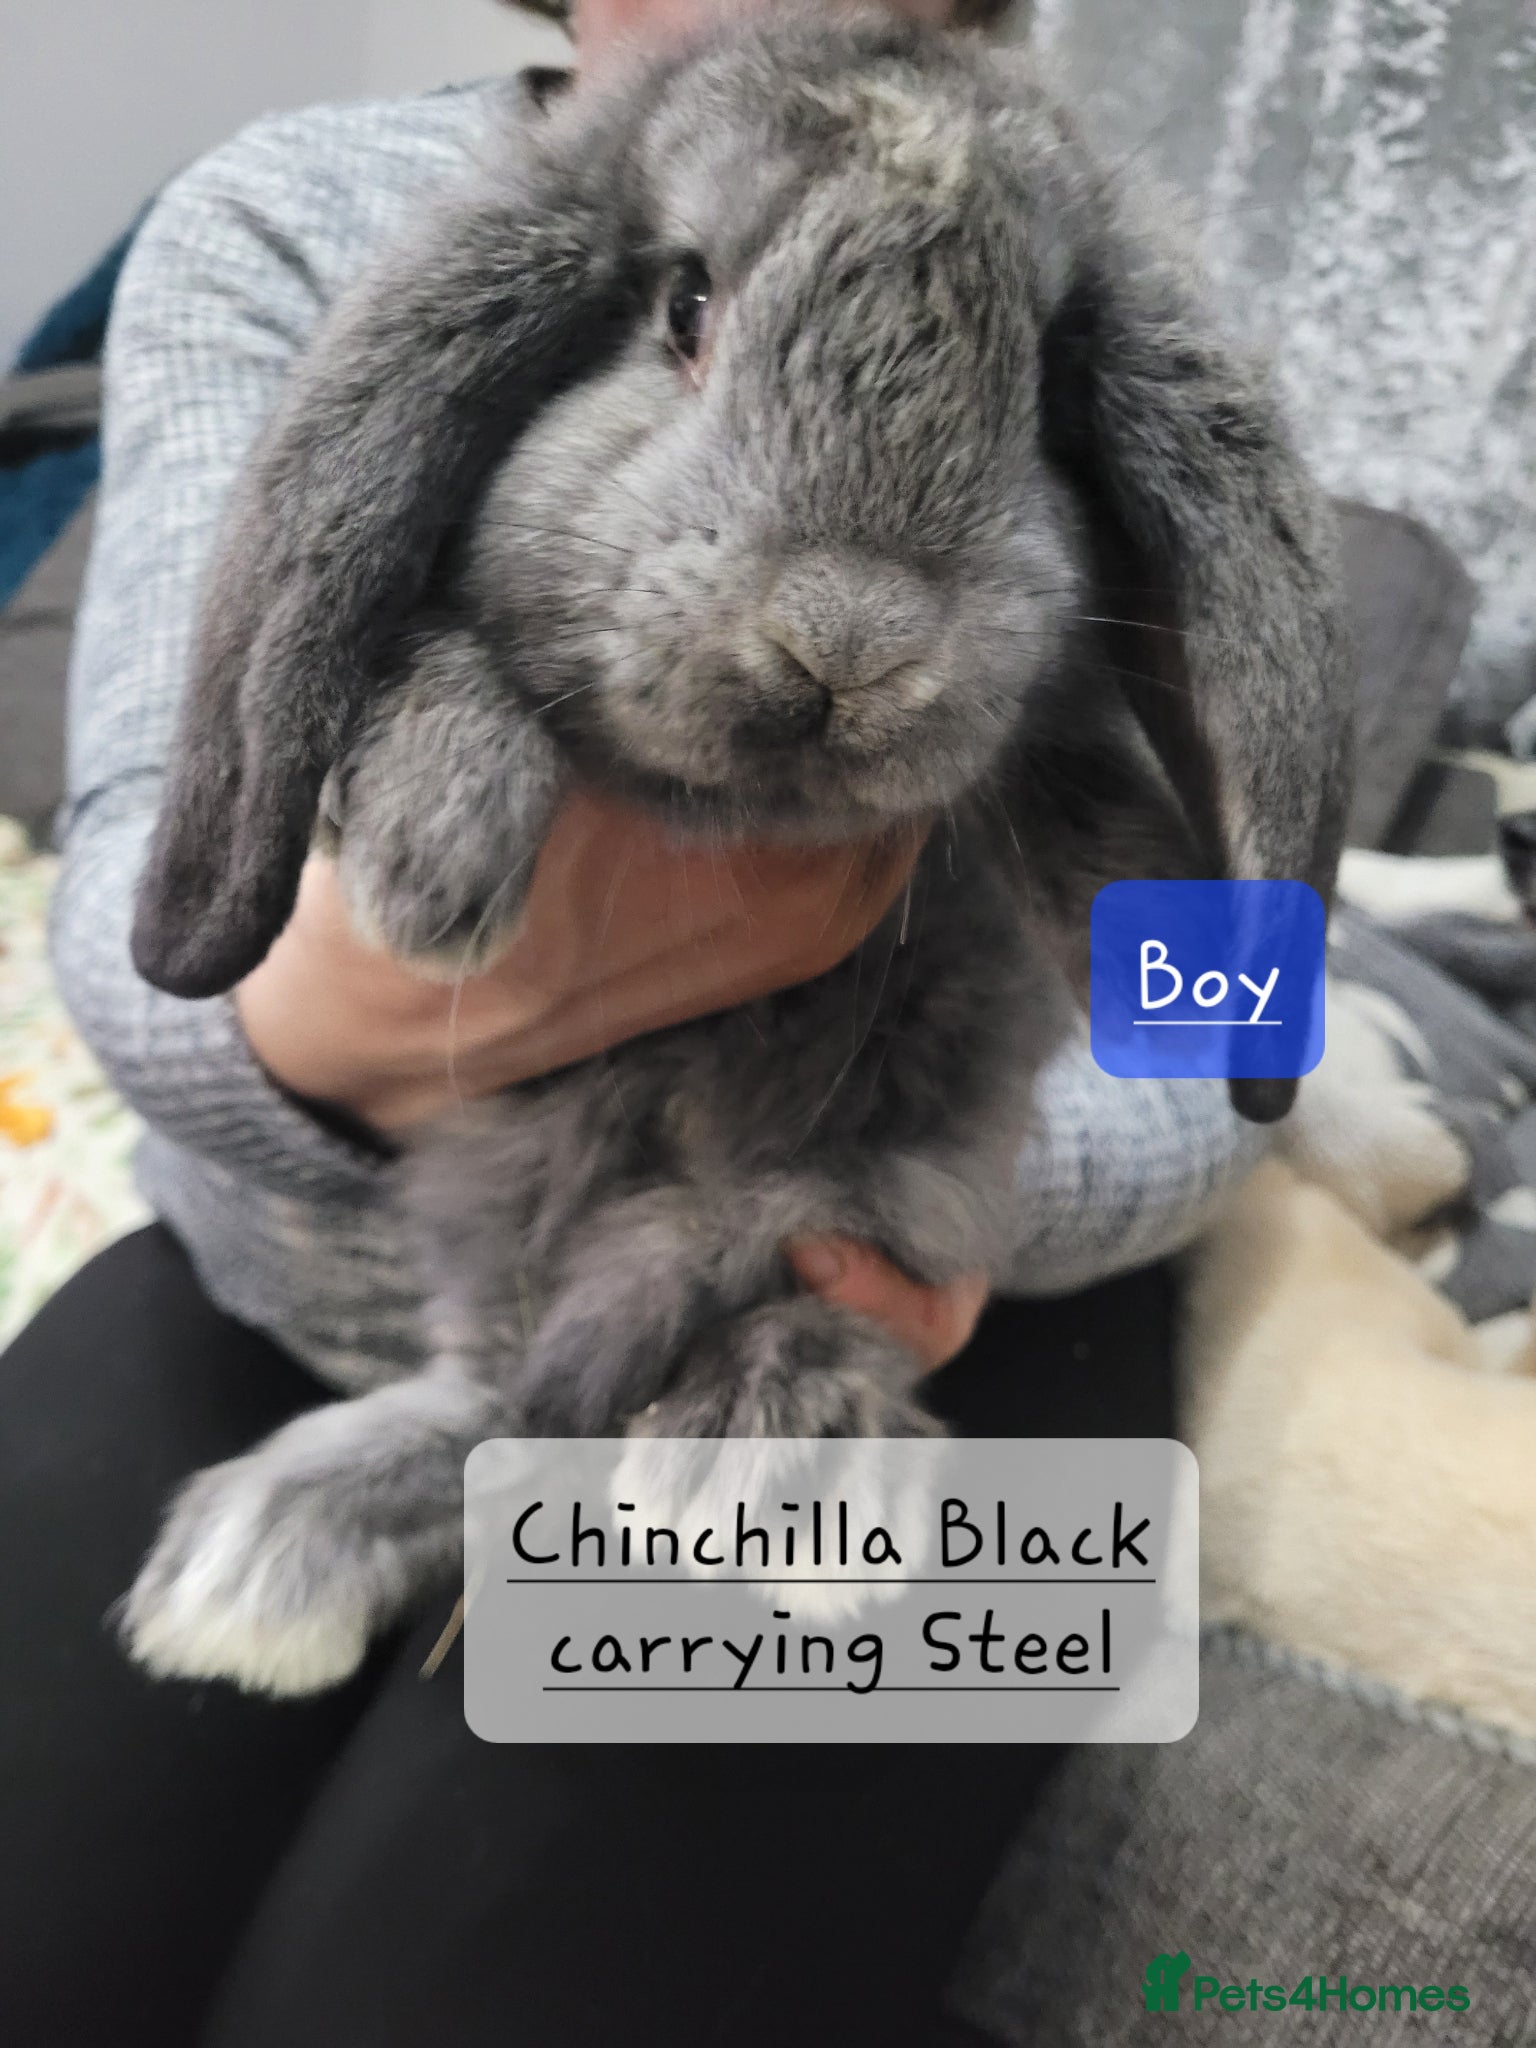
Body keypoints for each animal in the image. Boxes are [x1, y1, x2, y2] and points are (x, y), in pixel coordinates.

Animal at [121, 8, 1353, 1696]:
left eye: (1044, 387)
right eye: (683, 306)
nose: (846, 646)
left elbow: (1067, 789)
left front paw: (1156, 921)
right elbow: (428, 655)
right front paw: (440, 859)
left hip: (862, 1178)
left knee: (747, 1313)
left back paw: (765, 1466)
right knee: (499, 1398)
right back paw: (265, 1562)